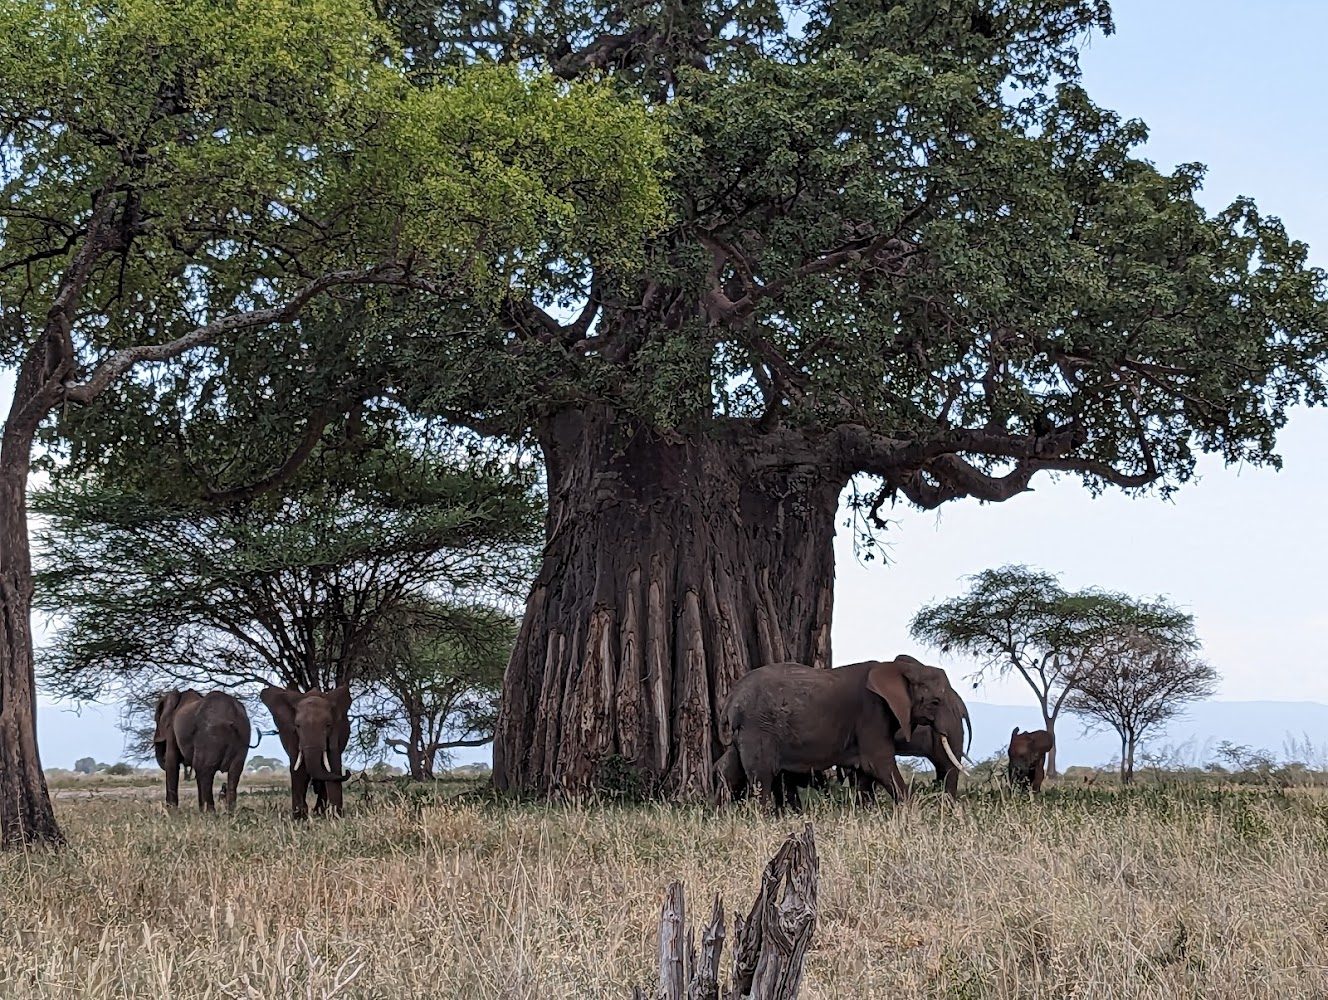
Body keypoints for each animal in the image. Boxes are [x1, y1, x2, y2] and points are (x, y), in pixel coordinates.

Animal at [261, 684, 352, 818]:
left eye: (328, 725)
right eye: (298, 726)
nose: (347, 772)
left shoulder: (336, 731)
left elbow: (333, 764)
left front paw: (336, 817)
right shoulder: (292, 735)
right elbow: (299, 770)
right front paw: (299, 817)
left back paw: (320, 812)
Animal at [718, 654, 967, 809]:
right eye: (935, 702)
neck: (898, 669)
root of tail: (731, 698)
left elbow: (865, 773)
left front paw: (869, 814)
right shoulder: (871, 713)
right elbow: (878, 764)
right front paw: (911, 813)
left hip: (746, 731)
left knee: (731, 768)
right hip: (758, 727)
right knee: (761, 776)